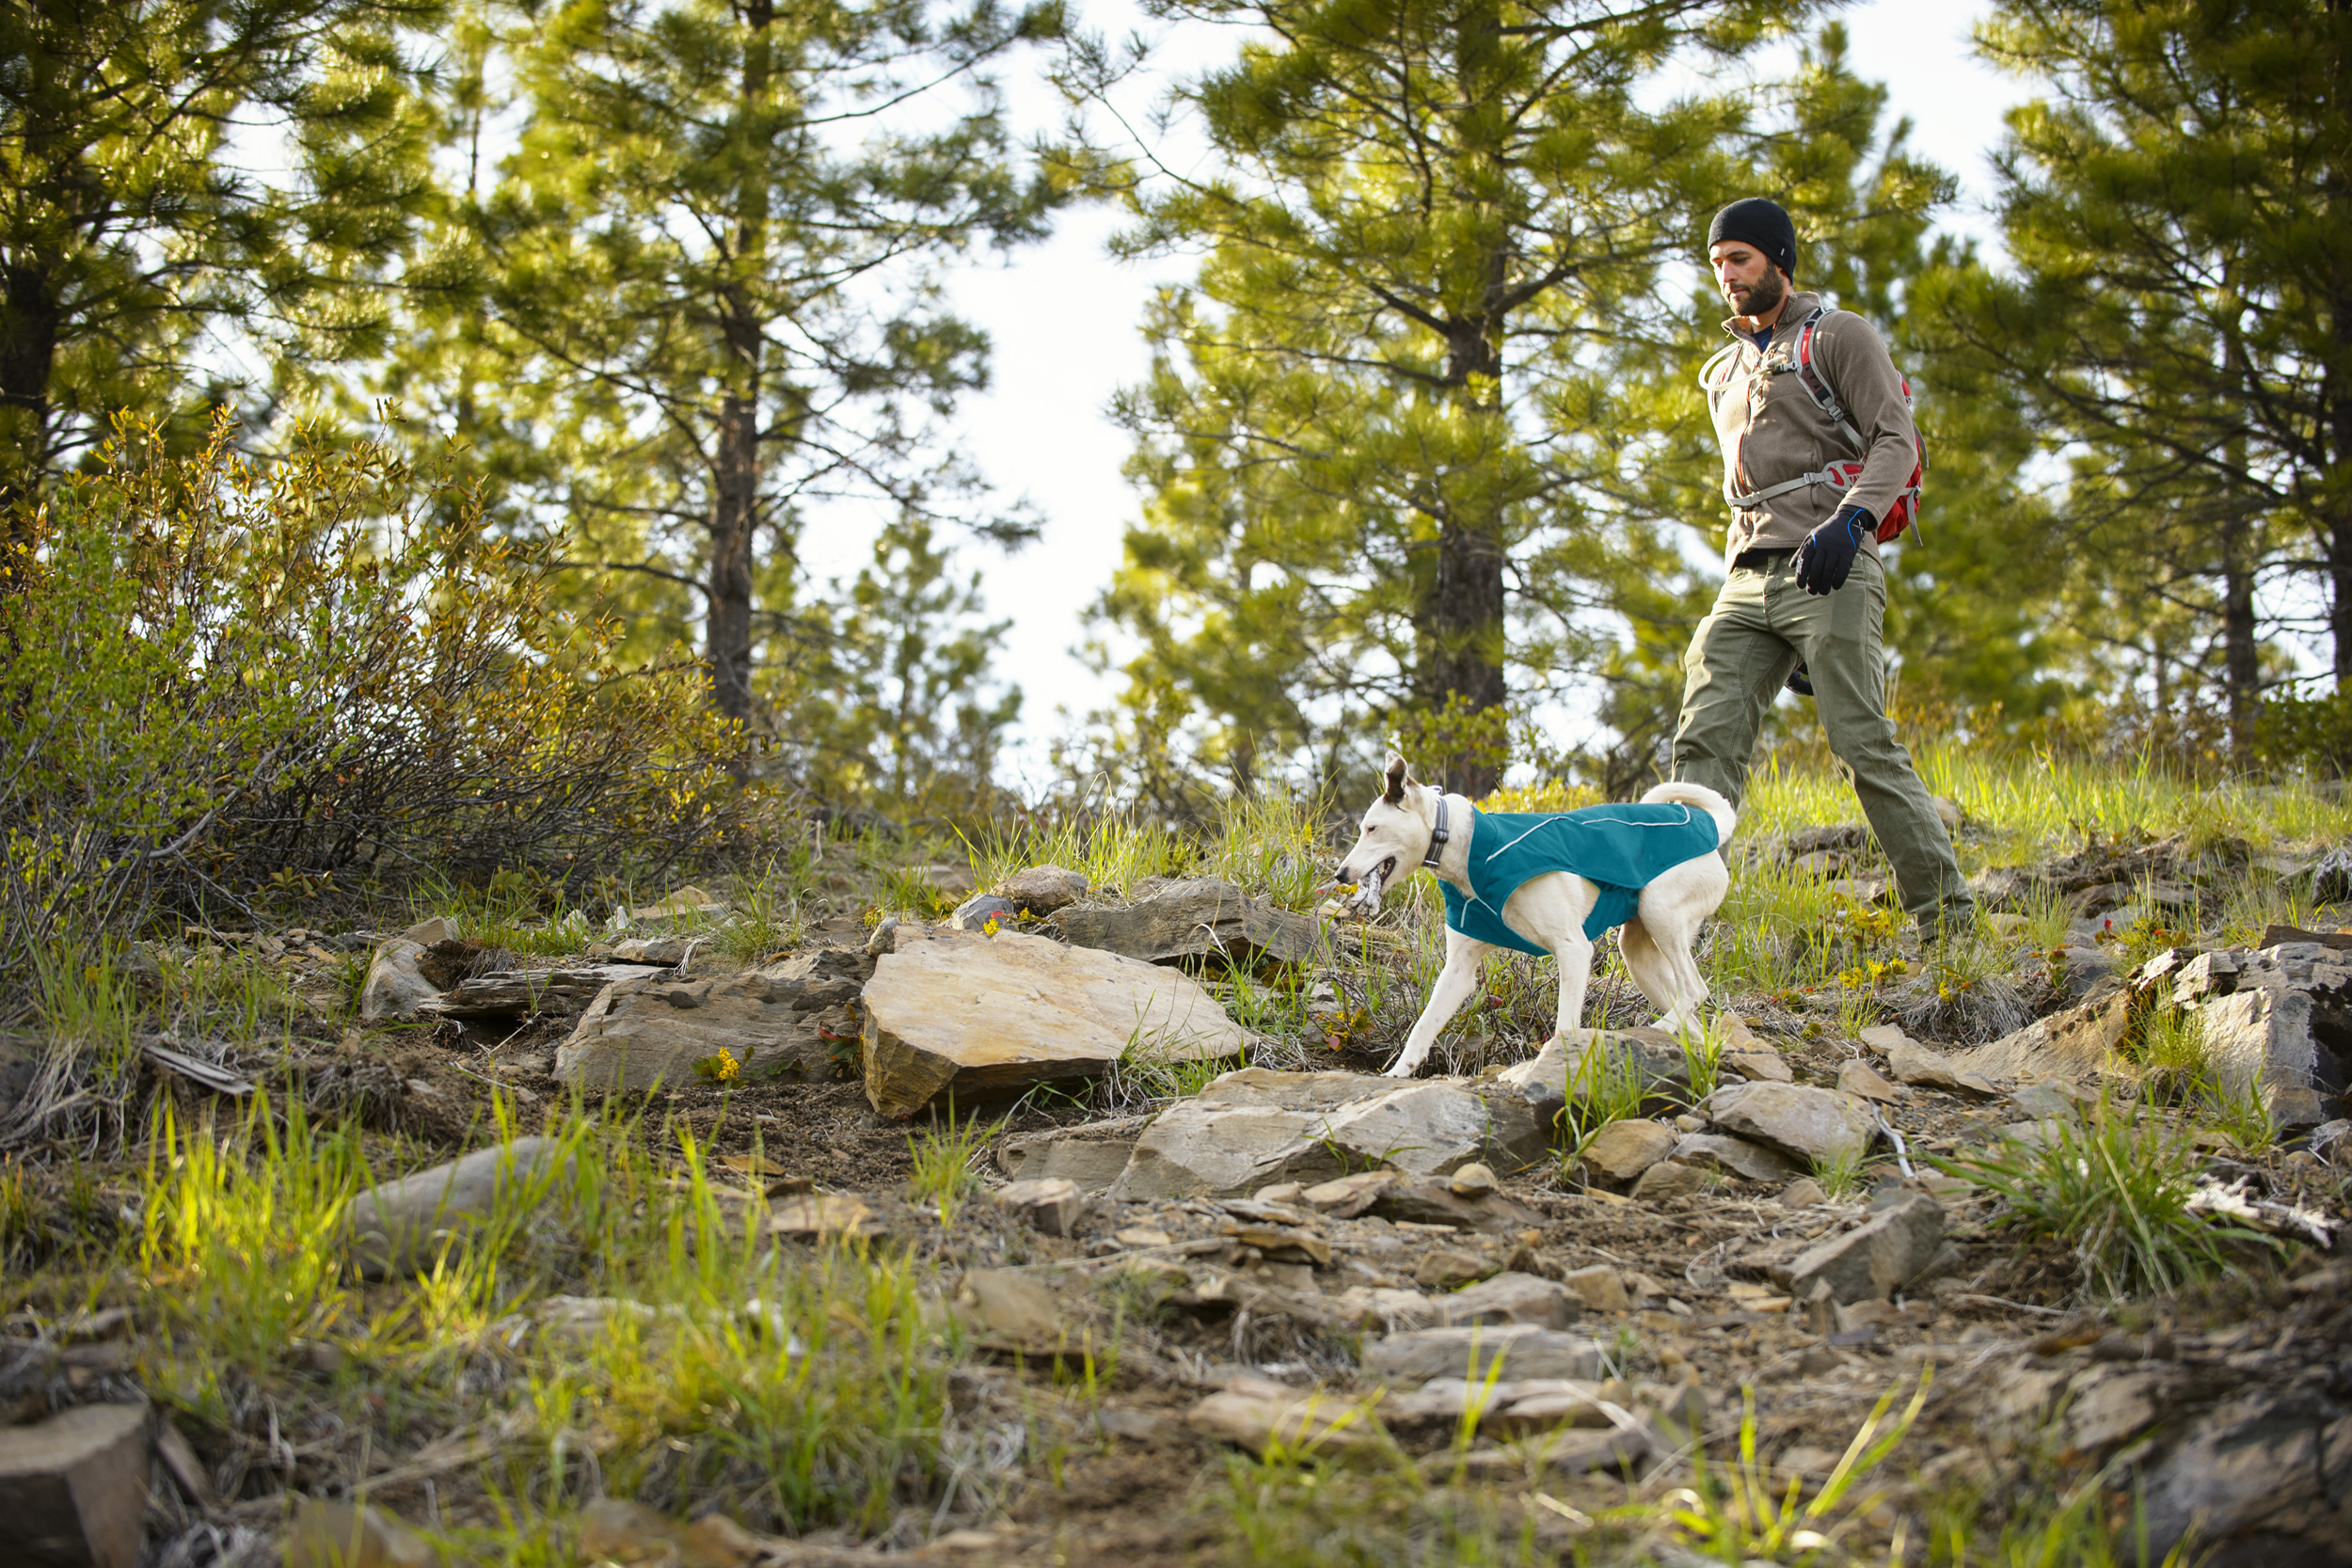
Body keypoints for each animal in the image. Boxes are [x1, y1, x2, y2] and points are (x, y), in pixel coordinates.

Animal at [1336, 752, 1740, 1071]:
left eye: (1372, 828)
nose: (1340, 874)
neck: (1466, 848)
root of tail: (1712, 828)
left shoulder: (1574, 950)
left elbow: (1564, 1027)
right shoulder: (1459, 971)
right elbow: (1423, 1026)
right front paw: (1398, 1074)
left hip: (1659, 913)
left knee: (1695, 991)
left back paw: (1658, 1031)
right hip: (1638, 954)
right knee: (1691, 1011)